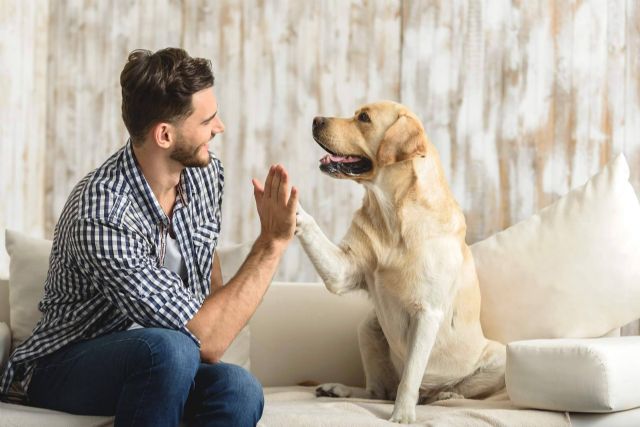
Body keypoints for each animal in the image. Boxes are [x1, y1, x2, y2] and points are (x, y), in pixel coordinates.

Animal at [298, 101, 508, 424]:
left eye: (364, 118)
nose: (315, 119)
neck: (392, 213)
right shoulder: (343, 270)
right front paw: (287, 204)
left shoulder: (427, 313)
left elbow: (410, 377)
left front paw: (402, 416)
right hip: (368, 327)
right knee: (377, 391)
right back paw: (338, 389)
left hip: (499, 356)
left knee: (443, 390)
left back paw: (445, 395)